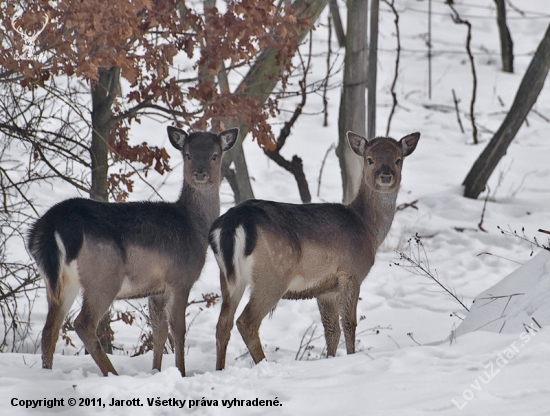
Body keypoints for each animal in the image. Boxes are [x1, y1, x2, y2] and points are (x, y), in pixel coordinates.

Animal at [27, 126, 239, 376]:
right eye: (188, 155)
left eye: (214, 155)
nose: (200, 173)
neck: (194, 227)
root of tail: (50, 226)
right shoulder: (181, 279)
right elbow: (178, 330)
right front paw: (181, 372)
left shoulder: (157, 289)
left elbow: (158, 330)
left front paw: (156, 371)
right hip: (103, 276)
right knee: (83, 324)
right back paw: (112, 373)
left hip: (59, 281)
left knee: (49, 330)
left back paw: (47, 373)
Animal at [209, 131, 420, 370]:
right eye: (369, 159)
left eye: (398, 159)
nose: (385, 176)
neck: (366, 227)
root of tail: (231, 224)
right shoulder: (351, 273)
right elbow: (349, 323)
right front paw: (351, 357)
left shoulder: (325, 288)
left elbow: (331, 330)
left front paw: (330, 359)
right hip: (272, 276)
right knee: (246, 321)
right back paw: (263, 363)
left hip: (229, 278)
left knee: (222, 324)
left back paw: (219, 370)